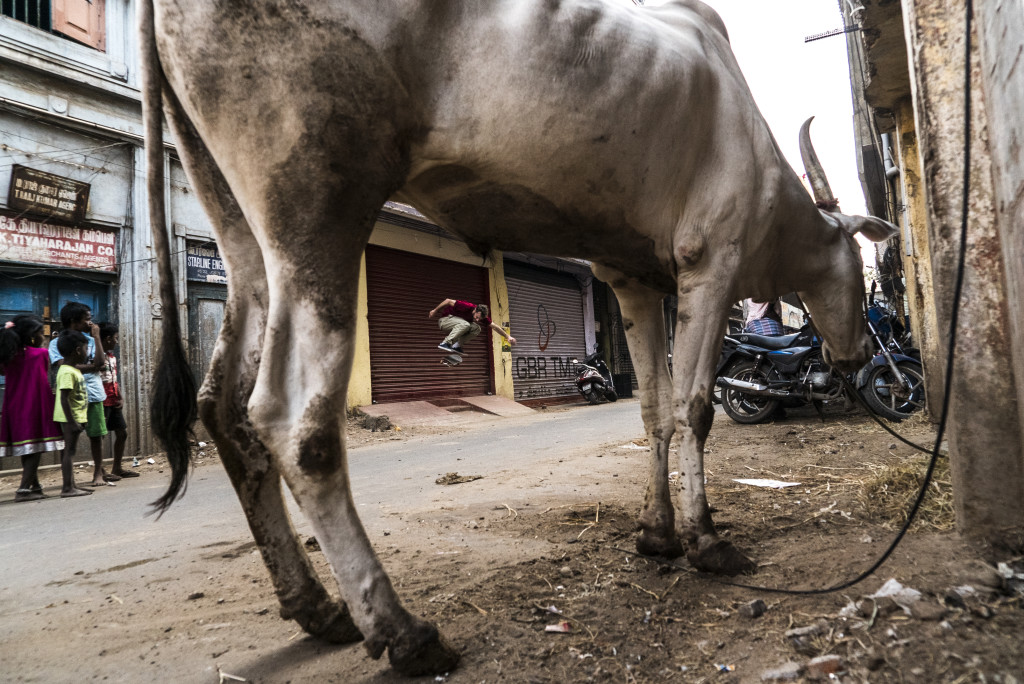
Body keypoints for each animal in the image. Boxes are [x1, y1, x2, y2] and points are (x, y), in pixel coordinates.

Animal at [142, 0, 897, 671]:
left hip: (242, 230)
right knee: (293, 420)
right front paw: (706, 540)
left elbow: (652, 411)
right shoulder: (708, 265)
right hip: (318, 201)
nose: (861, 354)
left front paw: (656, 534)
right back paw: (402, 631)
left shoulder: (633, 281)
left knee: (223, 408)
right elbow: (693, 408)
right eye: (857, 266)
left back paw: (316, 606)